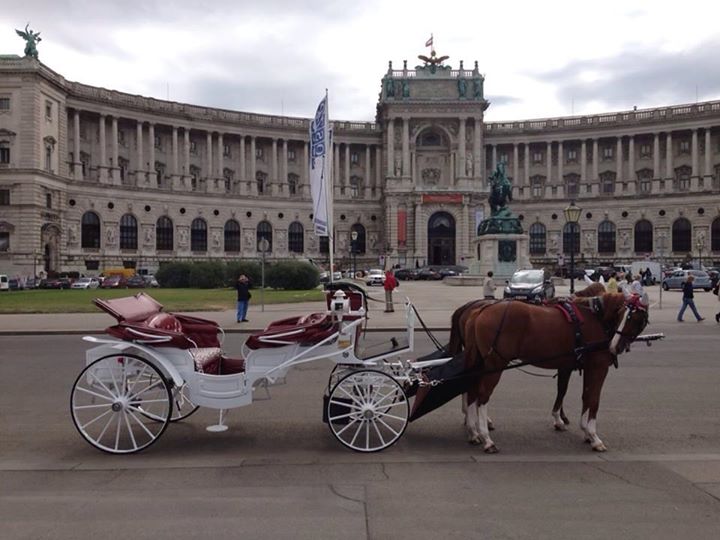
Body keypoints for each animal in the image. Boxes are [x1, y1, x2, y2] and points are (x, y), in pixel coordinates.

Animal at [462, 291, 648, 453]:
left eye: (635, 318)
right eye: (621, 314)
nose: (615, 346)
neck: (597, 319)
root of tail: (481, 310)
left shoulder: (586, 367)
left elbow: (585, 397)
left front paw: (585, 431)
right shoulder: (599, 367)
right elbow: (594, 400)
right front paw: (594, 436)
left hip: (480, 363)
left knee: (472, 391)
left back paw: (473, 432)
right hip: (495, 364)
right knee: (482, 397)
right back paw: (487, 438)